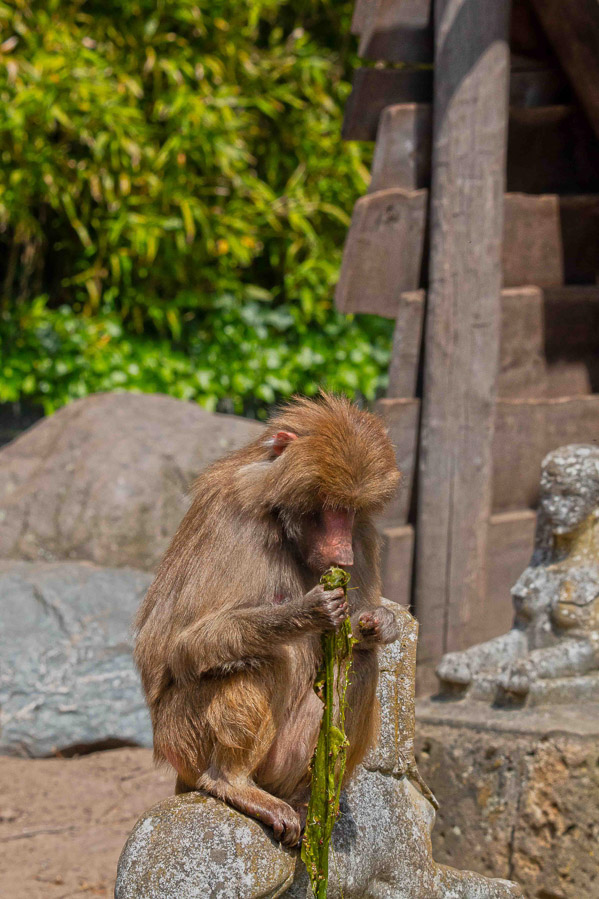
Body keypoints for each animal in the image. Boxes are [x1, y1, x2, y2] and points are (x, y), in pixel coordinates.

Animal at [134, 393, 401, 847]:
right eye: (328, 508)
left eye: (350, 511)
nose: (342, 554)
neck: (281, 522)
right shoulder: (230, 517)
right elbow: (178, 644)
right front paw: (307, 612)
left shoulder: (364, 535)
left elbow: (357, 636)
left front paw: (380, 623)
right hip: (180, 740)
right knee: (266, 658)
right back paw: (234, 783)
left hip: (286, 761)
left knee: (361, 663)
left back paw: (312, 804)